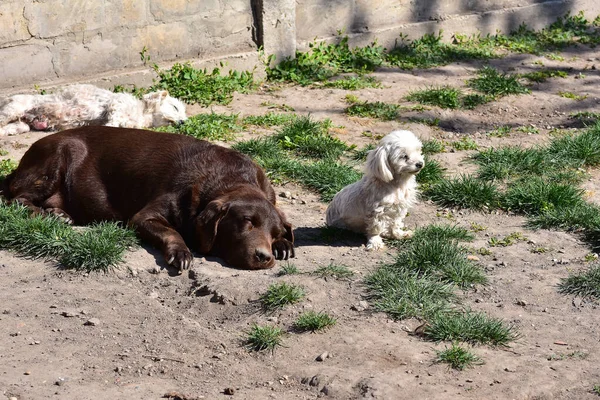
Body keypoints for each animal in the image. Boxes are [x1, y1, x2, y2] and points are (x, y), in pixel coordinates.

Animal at [0, 83, 186, 136]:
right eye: (175, 107)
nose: (184, 122)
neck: (142, 113)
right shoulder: (117, 103)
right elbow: (113, 118)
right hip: (14, 108)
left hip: (21, 126)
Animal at [2, 127, 296, 272]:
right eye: (246, 221)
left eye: (273, 232)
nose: (263, 257)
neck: (229, 179)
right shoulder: (145, 216)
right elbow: (170, 231)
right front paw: (181, 253)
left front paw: (283, 245)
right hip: (58, 157)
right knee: (17, 199)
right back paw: (45, 214)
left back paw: (59, 214)